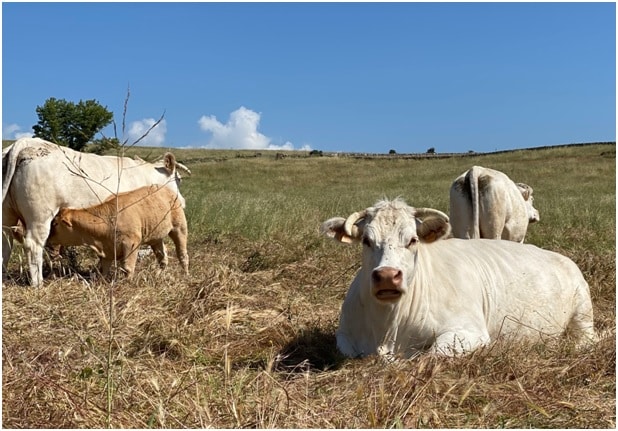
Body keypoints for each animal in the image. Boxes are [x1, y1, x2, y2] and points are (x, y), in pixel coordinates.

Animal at [2, 138, 186, 286]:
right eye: (178, 179)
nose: (182, 202)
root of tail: (25, 143)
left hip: (7, 216)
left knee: (5, 245)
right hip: (40, 216)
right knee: (33, 245)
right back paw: (38, 283)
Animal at [320, 197, 596, 360]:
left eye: (413, 240)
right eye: (367, 240)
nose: (388, 276)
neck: (387, 330)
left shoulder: (470, 332)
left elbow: (430, 355)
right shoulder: (344, 335)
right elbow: (348, 352)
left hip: (583, 311)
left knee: (586, 339)